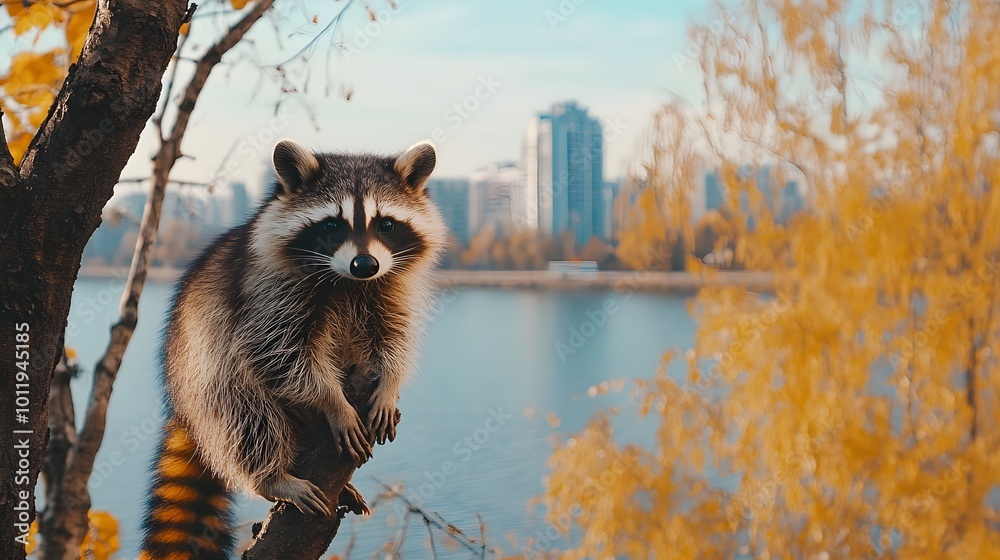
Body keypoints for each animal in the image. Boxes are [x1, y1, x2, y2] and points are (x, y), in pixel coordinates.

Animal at [139, 140, 446, 559]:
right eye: (332, 224)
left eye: (386, 224)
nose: (364, 264)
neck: (347, 281)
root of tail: (181, 404)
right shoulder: (265, 289)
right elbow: (279, 353)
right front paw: (333, 403)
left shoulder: (389, 286)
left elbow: (394, 336)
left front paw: (389, 383)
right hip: (205, 375)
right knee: (245, 411)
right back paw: (271, 477)